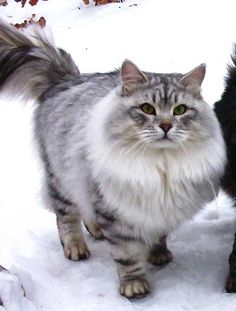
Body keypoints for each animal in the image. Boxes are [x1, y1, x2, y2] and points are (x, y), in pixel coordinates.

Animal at [0, 20, 226, 300]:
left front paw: (158, 255)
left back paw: (95, 230)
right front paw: (134, 286)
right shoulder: (117, 214)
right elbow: (126, 256)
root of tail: (66, 79)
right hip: (62, 179)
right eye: (147, 109)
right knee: (65, 216)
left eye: (180, 110)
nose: (165, 126)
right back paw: (76, 248)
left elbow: (158, 235)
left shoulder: (159, 207)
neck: (160, 165)